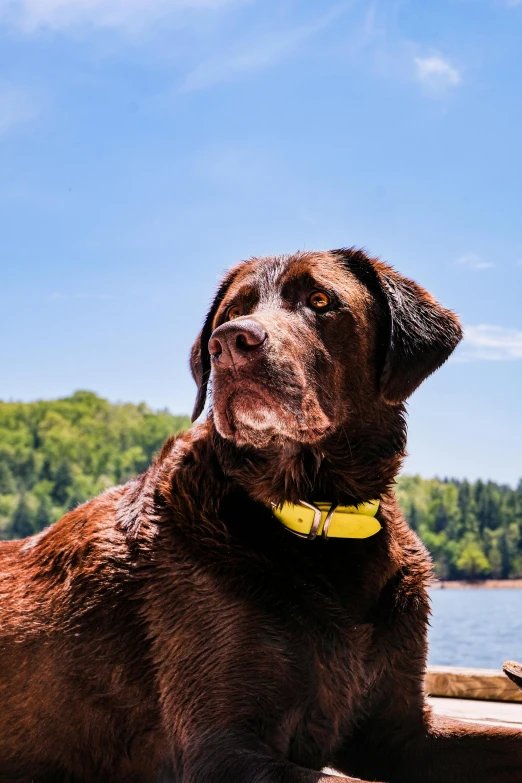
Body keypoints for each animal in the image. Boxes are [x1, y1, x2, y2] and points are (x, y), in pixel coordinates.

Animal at [1, 250, 520, 783]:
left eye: (320, 300)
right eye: (233, 311)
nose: (229, 343)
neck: (320, 516)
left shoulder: (402, 731)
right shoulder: (219, 749)